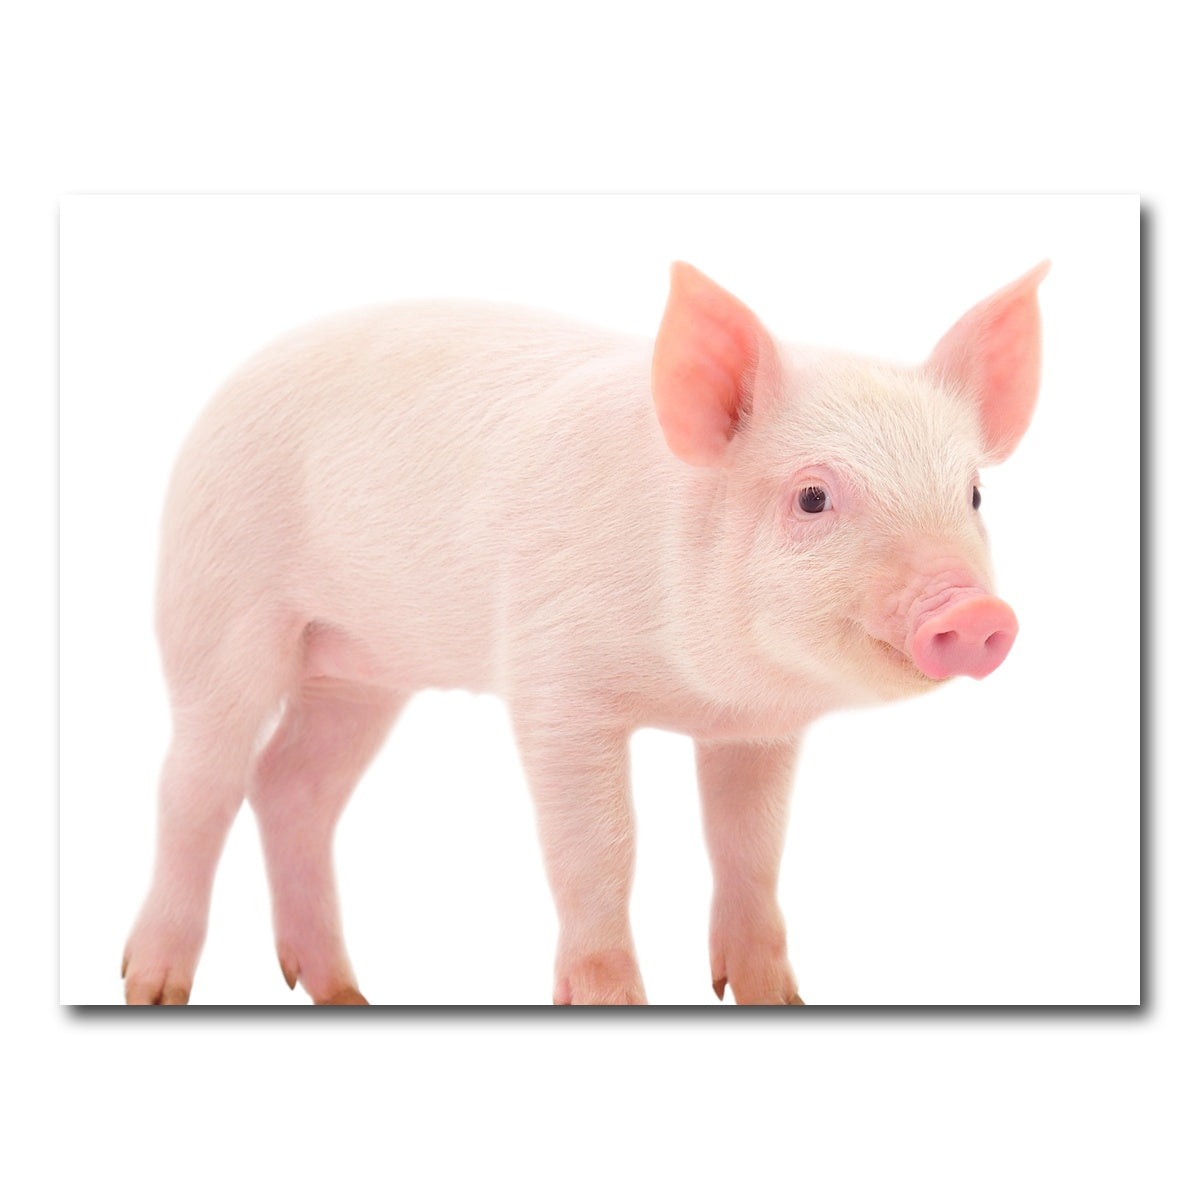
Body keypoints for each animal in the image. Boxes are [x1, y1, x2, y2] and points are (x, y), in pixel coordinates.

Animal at [122, 259, 1048, 1005]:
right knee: (199, 785)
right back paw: (152, 986)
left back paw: (347, 993)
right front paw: (610, 1000)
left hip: (360, 671)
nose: (975, 613)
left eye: (972, 495)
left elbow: (750, 848)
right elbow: (601, 847)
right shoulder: (554, 684)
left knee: (292, 787)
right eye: (813, 497)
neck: (699, 691)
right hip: (217, 603)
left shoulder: (758, 731)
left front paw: (774, 999)